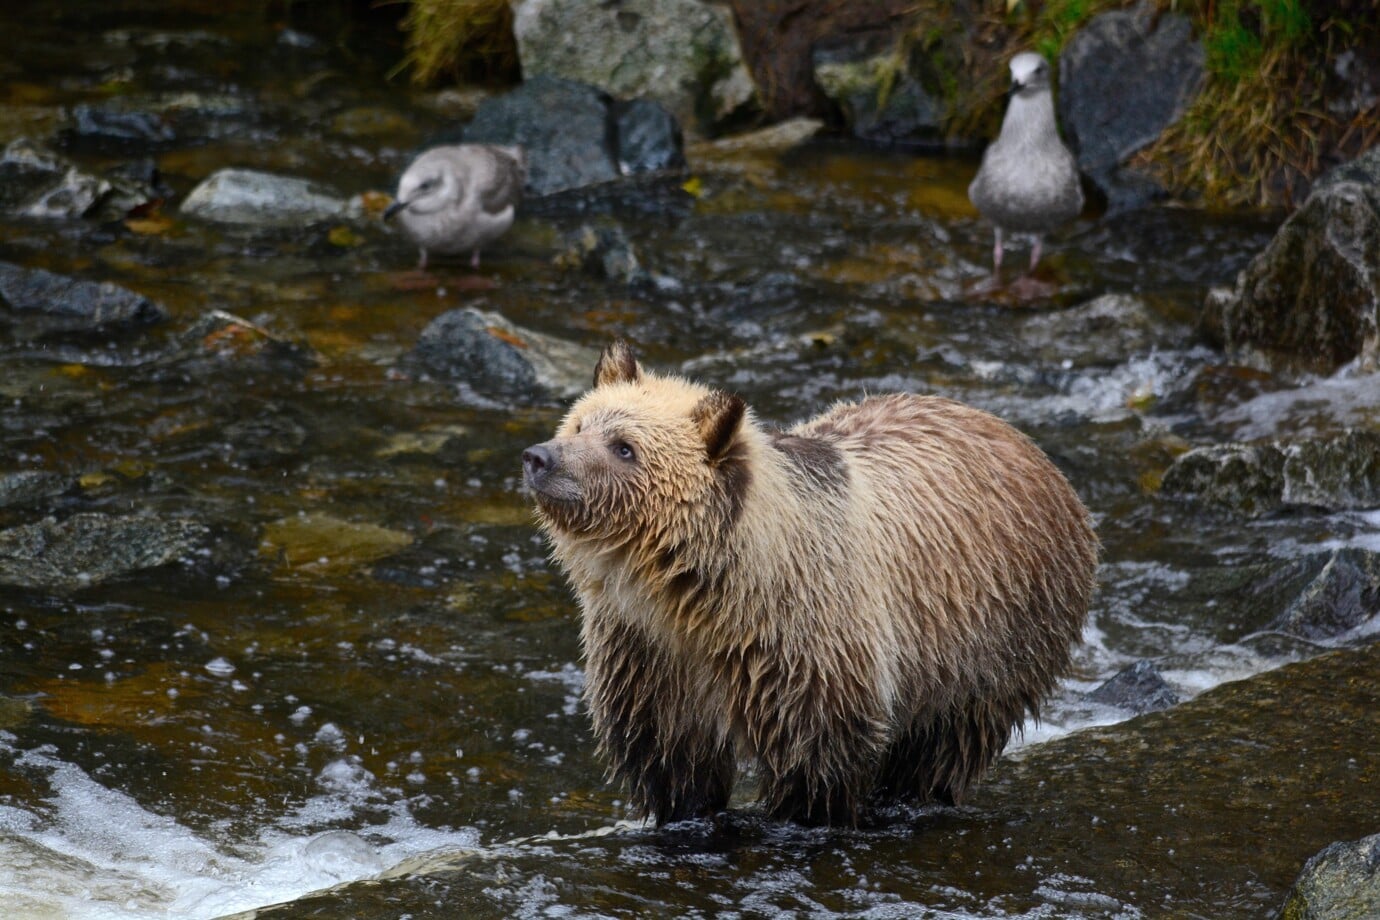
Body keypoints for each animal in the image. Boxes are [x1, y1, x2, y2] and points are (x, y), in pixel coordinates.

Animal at [522, 341, 1098, 826]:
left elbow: (816, 761)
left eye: (624, 447)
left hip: (993, 632)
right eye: (579, 423)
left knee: (945, 741)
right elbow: (672, 758)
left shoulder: (806, 644)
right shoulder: (649, 653)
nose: (540, 458)